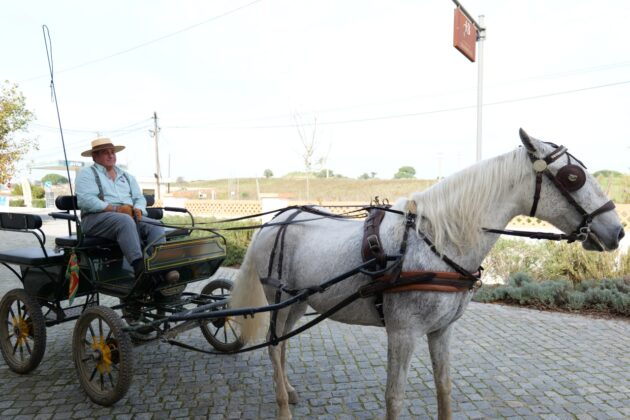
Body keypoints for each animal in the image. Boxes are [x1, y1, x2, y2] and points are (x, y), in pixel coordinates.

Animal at [230, 130, 624, 418]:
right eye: (573, 177)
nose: (617, 231)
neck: (436, 243)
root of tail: (276, 219)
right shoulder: (403, 333)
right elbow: (394, 397)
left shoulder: (441, 330)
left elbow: (444, 388)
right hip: (279, 300)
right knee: (274, 347)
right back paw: (283, 406)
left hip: (298, 302)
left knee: (281, 347)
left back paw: (288, 390)